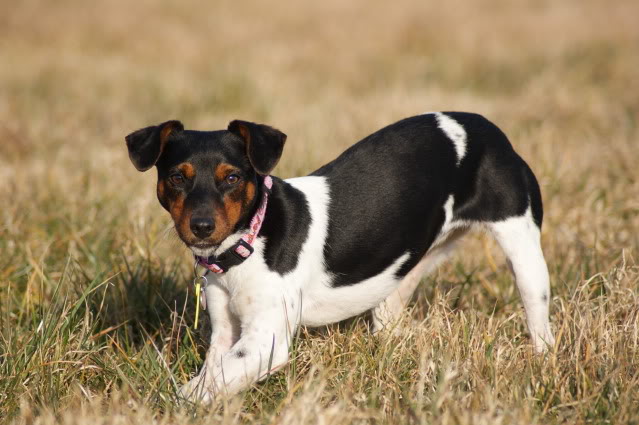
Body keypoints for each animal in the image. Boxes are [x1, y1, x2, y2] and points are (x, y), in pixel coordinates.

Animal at [125, 112, 556, 400]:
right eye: (176, 177)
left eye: (232, 177)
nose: (200, 226)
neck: (250, 240)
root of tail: (482, 124)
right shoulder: (226, 332)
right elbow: (211, 378)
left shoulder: (265, 341)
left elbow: (196, 391)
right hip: (404, 271)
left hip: (522, 248)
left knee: (539, 320)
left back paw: (542, 363)